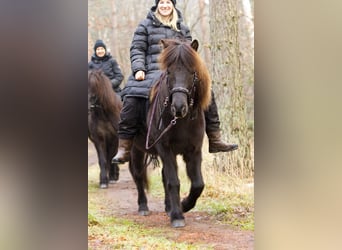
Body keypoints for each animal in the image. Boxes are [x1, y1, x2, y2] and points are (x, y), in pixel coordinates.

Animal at [127, 38, 211, 227]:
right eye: (169, 72)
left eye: (192, 72)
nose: (179, 107)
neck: (180, 121)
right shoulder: (166, 149)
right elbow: (173, 181)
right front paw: (177, 216)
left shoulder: (194, 151)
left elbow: (198, 184)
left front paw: (183, 205)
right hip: (136, 150)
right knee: (138, 175)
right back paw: (143, 206)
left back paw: (168, 207)